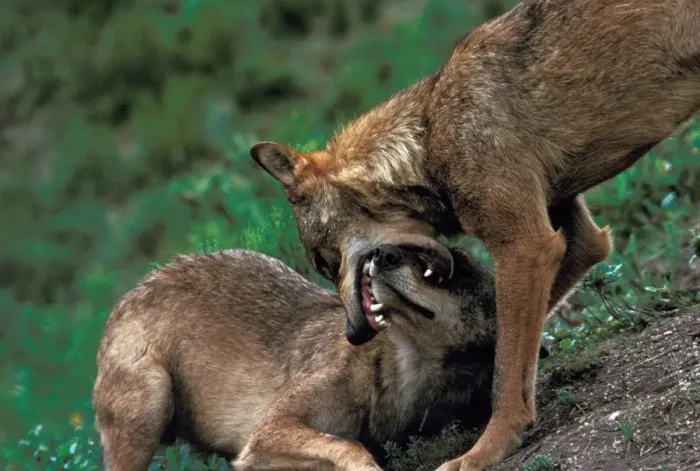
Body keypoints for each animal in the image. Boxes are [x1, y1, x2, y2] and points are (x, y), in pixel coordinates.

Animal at [92, 241, 512, 471]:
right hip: (151, 406)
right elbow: (349, 446)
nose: (380, 253)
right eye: (408, 249)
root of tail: (128, 297)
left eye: (443, 272)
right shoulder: (267, 433)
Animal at [249, 0, 700, 469]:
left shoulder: (525, 247)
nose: (354, 335)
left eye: (325, 263)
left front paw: (487, 446)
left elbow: (506, 369)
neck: (428, 138)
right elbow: (502, 340)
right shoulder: (578, 238)